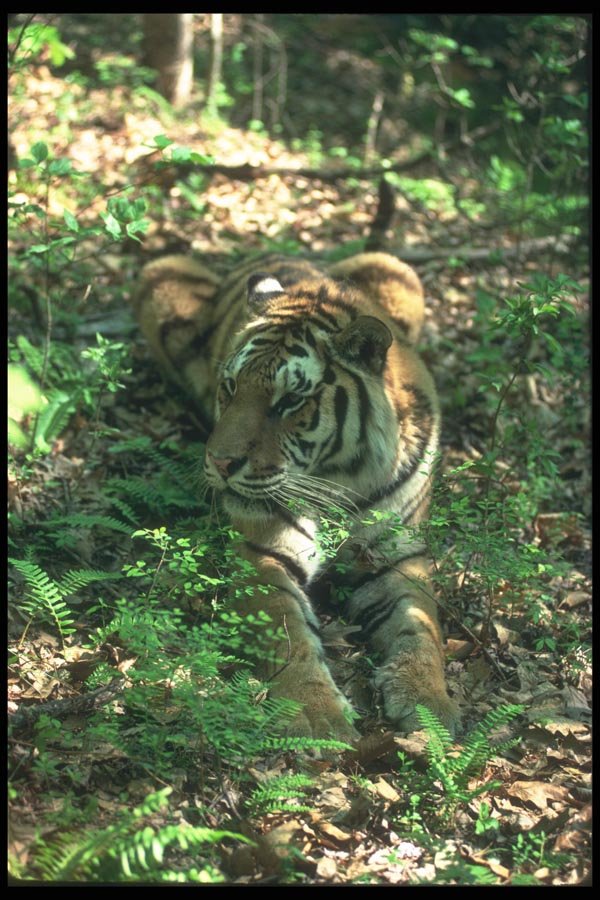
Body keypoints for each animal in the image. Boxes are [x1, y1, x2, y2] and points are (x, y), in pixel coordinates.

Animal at [132, 250, 459, 742]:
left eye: (289, 401)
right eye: (231, 387)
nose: (220, 463)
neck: (345, 479)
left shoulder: (400, 557)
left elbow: (421, 626)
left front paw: (428, 703)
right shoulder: (262, 554)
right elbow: (286, 629)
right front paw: (317, 714)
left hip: (395, 269)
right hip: (161, 277)